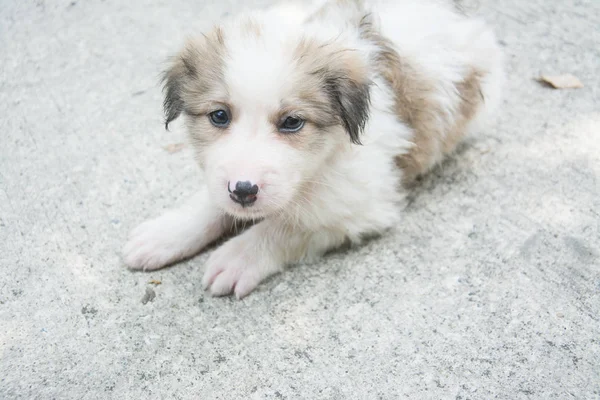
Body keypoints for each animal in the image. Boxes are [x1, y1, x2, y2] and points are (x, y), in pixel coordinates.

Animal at [124, 0, 504, 298]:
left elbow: (290, 224)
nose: (244, 191)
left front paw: (240, 256)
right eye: (219, 115)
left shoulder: (361, 203)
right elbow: (212, 201)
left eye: (292, 122)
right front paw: (168, 232)